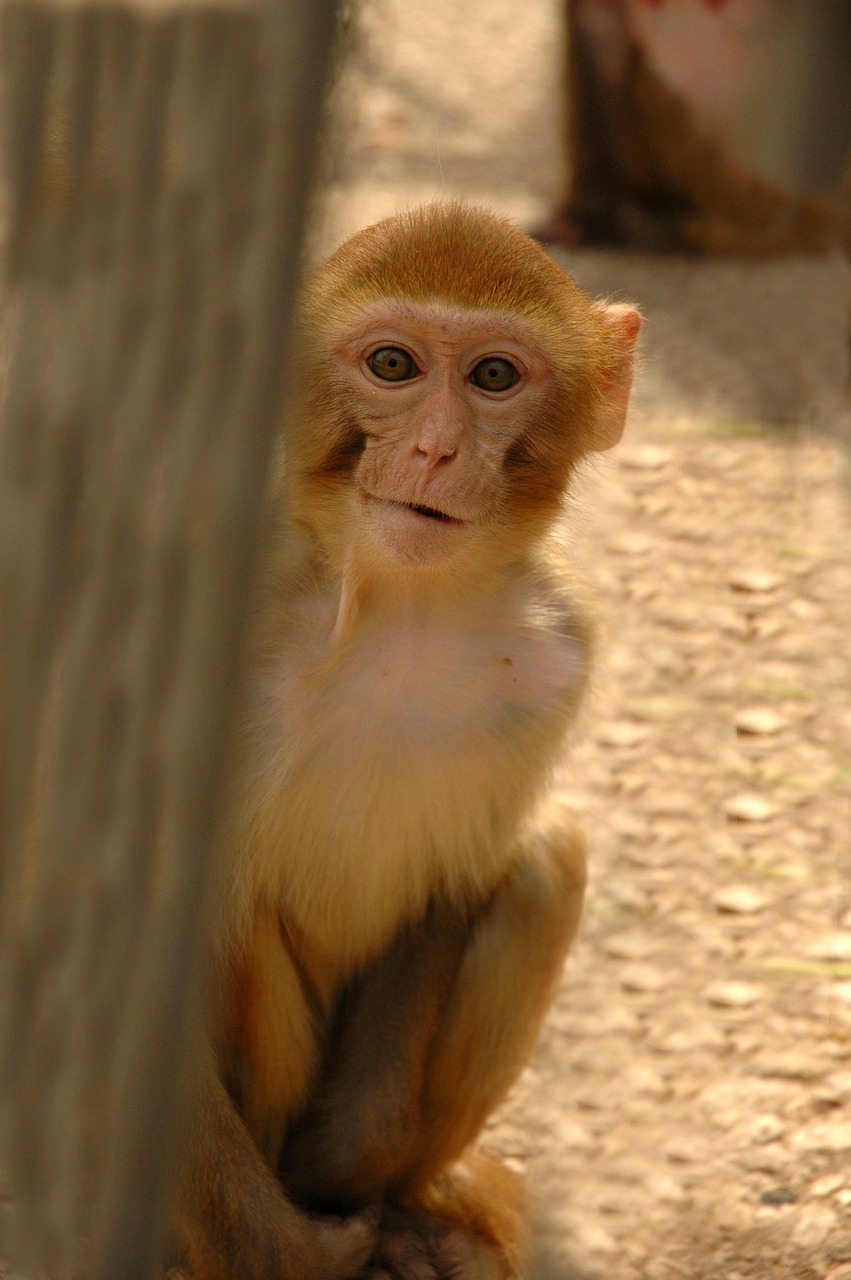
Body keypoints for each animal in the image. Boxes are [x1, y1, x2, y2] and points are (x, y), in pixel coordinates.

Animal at [168, 202, 639, 1280]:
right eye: (392, 364)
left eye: (494, 377)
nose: (431, 451)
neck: (398, 606)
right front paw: (291, 1248)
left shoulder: (562, 653)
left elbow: (449, 885)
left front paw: (356, 1178)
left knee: (545, 857)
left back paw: (418, 1200)